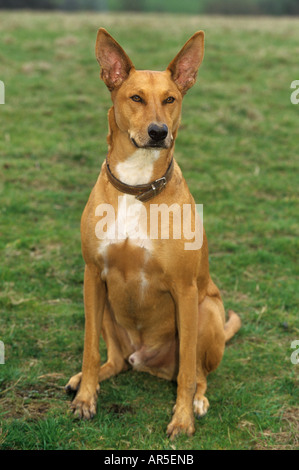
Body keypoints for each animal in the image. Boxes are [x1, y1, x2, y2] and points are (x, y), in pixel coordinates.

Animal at [65, 30, 241, 440]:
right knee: (115, 360)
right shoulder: (92, 275)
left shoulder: (184, 289)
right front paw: (85, 399)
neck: (137, 186)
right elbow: (89, 349)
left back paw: (198, 400)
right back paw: (85, 380)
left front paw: (182, 419)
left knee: (198, 372)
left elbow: (188, 370)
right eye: (136, 98)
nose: (158, 132)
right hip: (106, 309)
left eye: (170, 99)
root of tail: (144, 359)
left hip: (207, 309)